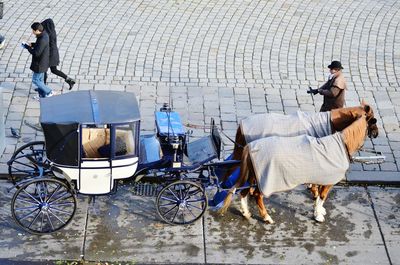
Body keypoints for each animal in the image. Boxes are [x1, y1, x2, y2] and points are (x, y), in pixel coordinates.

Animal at [219, 110, 378, 224]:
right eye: (373, 121)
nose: (376, 133)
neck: (342, 144)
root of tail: (250, 147)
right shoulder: (328, 181)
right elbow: (322, 196)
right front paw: (318, 214)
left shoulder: (322, 176)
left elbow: (319, 194)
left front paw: (317, 209)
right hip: (264, 179)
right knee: (257, 194)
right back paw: (266, 217)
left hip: (252, 174)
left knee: (243, 191)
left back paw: (246, 212)